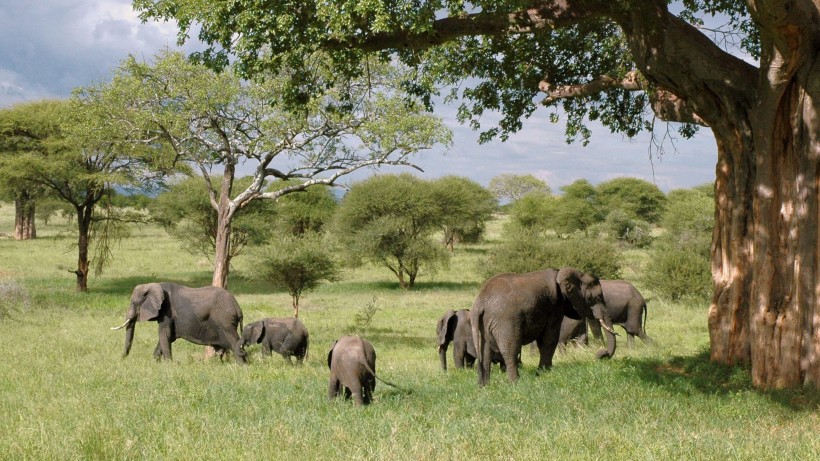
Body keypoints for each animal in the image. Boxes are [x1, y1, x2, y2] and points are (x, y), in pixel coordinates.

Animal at [110, 280, 248, 362]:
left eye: (134, 303)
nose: (122, 359)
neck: (154, 285)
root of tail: (238, 307)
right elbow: (168, 337)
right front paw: (155, 362)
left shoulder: (167, 312)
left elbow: (164, 334)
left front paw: (168, 364)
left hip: (225, 321)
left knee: (234, 341)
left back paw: (241, 366)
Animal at [470, 266, 604, 384]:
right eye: (597, 298)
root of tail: (480, 303)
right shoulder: (555, 305)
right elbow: (550, 338)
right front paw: (544, 373)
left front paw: (543, 373)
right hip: (505, 321)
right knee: (510, 349)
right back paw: (515, 383)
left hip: (482, 323)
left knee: (485, 353)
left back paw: (484, 386)